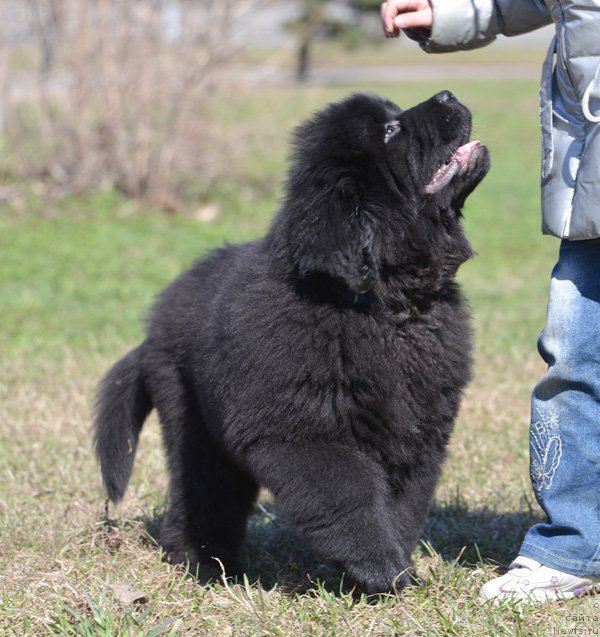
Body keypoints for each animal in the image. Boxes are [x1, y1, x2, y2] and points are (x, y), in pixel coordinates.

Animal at [94, 92, 488, 592]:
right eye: (389, 131)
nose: (447, 95)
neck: (382, 305)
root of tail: (154, 323)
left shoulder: (415, 431)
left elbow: (402, 505)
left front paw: (392, 568)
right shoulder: (299, 431)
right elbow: (350, 495)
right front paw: (381, 570)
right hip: (191, 418)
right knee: (202, 495)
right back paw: (207, 565)